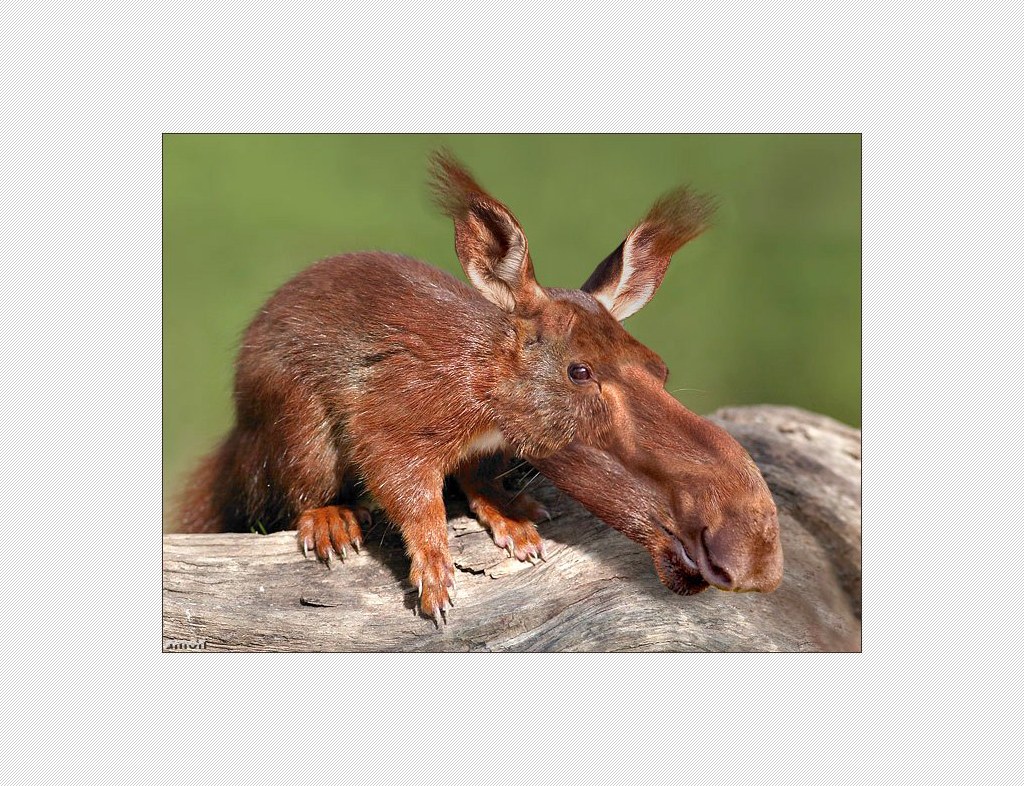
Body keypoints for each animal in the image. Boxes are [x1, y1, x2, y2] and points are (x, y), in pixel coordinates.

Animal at [179, 151, 783, 624]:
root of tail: (242, 436)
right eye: (579, 372)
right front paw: (433, 565)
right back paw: (328, 517)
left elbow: (475, 477)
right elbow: (406, 486)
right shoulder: (400, 410)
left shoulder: (487, 446)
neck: (490, 383)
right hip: (295, 425)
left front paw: (507, 514)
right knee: (292, 489)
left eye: (659, 368)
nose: (753, 552)